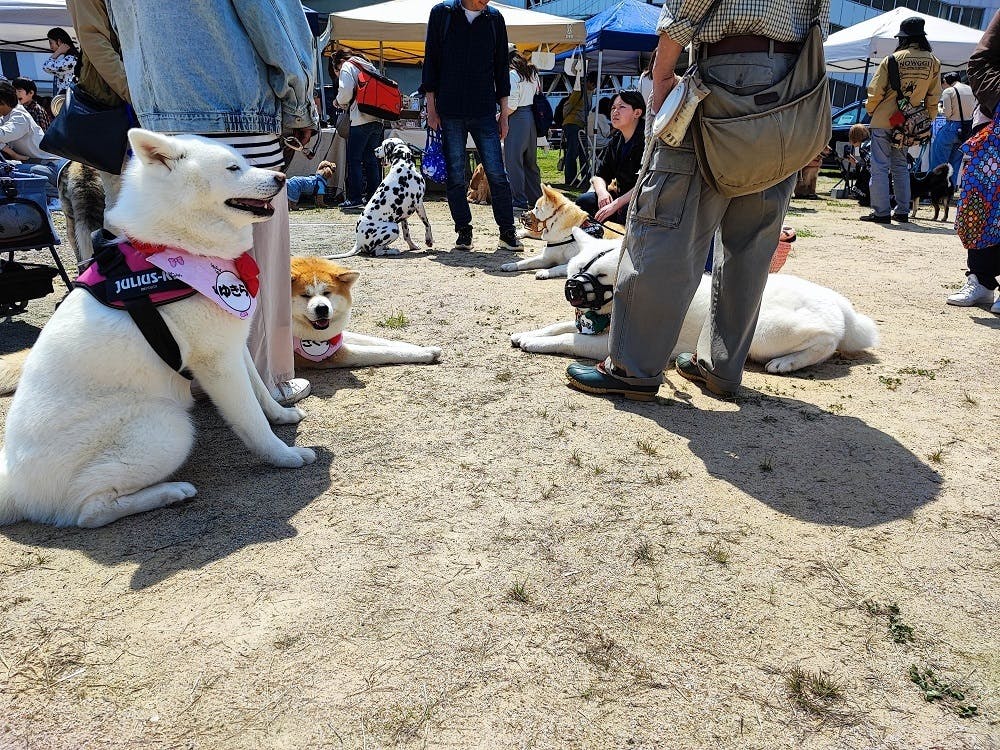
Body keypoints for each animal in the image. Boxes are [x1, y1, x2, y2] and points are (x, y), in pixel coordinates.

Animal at [0, 129, 315, 527]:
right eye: (233, 167)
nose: (281, 178)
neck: (178, 252)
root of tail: (14, 485)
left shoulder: (233, 346)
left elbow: (260, 390)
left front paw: (282, 415)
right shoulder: (218, 365)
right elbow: (251, 419)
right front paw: (284, 456)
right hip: (168, 426)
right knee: (89, 511)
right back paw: (170, 492)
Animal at [290, 256, 441, 368]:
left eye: (327, 293)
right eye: (305, 295)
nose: (322, 308)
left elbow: (380, 341)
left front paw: (425, 348)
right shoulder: (329, 355)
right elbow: (382, 352)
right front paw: (425, 355)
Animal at [511, 229, 879, 374]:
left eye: (601, 276)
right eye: (575, 270)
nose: (571, 288)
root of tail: (839, 301)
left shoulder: (606, 345)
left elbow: (566, 339)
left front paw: (534, 343)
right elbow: (559, 326)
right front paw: (526, 333)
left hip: (768, 332)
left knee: (827, 341)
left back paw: (787, 363)